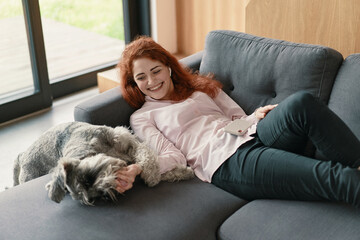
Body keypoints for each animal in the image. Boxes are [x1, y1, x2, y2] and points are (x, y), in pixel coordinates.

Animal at [13, 122, 194, 204]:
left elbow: (147, 157)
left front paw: (154, 175)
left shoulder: (128, 141)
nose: (104, 195)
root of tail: (22, 156)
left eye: (88, 180)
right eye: (85, 198)